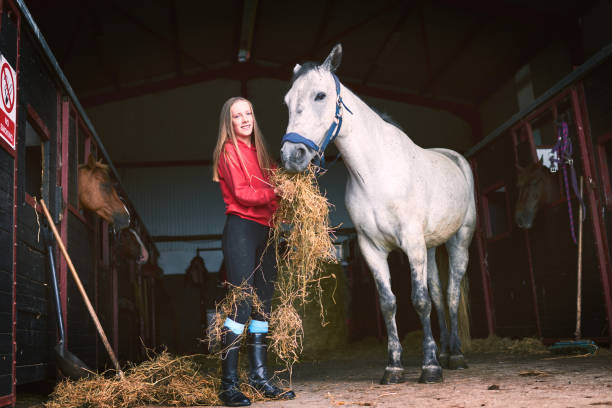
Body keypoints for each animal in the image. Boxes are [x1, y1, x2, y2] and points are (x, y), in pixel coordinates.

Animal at [280, 45, 476, 386]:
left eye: (320, 95)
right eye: (288, 101)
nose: (292, 156)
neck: (375, 172)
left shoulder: (411, 243)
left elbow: (419, 300)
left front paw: (429, 367)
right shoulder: (372, 248)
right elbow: (389, 304)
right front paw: (394, 367)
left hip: (459, 241)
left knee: (450, 294)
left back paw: (455, 356)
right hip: (431, 247)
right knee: (440, 295)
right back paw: (446, 352)